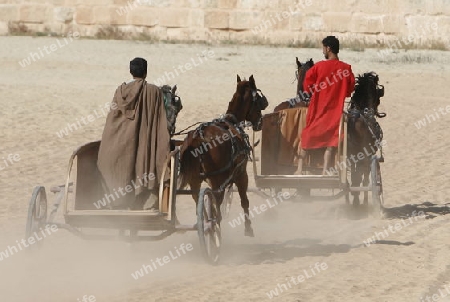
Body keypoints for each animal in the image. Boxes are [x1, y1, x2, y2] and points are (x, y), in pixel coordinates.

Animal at [178, 75, 268, 236]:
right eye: (258, 100)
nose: (260, 123)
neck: (232, 121)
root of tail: (197, 138)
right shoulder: (241, 174)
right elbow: (245, 201)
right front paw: (248, 228)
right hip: (217, 181)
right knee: (216, 207)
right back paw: (214, 228)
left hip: (195, 181)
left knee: (200, 202)